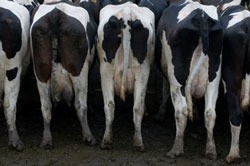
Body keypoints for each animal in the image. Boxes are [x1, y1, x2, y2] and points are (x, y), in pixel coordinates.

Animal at [29, 0, 95, 148]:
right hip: (79, 70)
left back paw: (47, 139)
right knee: (80, 104)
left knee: (46, 106)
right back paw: (88, 136)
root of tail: (56, 14)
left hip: (41, 70)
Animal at [96, 1, 155, 152]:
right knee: (137, 106)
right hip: (141, 70)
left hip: (106, 70)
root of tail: (127, 13)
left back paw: (108, 141)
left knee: (111, 105)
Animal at [156, 0, 223, 159]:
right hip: (214, 76)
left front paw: (160, 113)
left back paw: (176, 148)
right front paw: (196, 114)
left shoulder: (167, 71)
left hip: (177, 76)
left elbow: (165, 89)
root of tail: (200, 14)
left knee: (181, 111)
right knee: (210, 112)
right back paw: (211, 150)